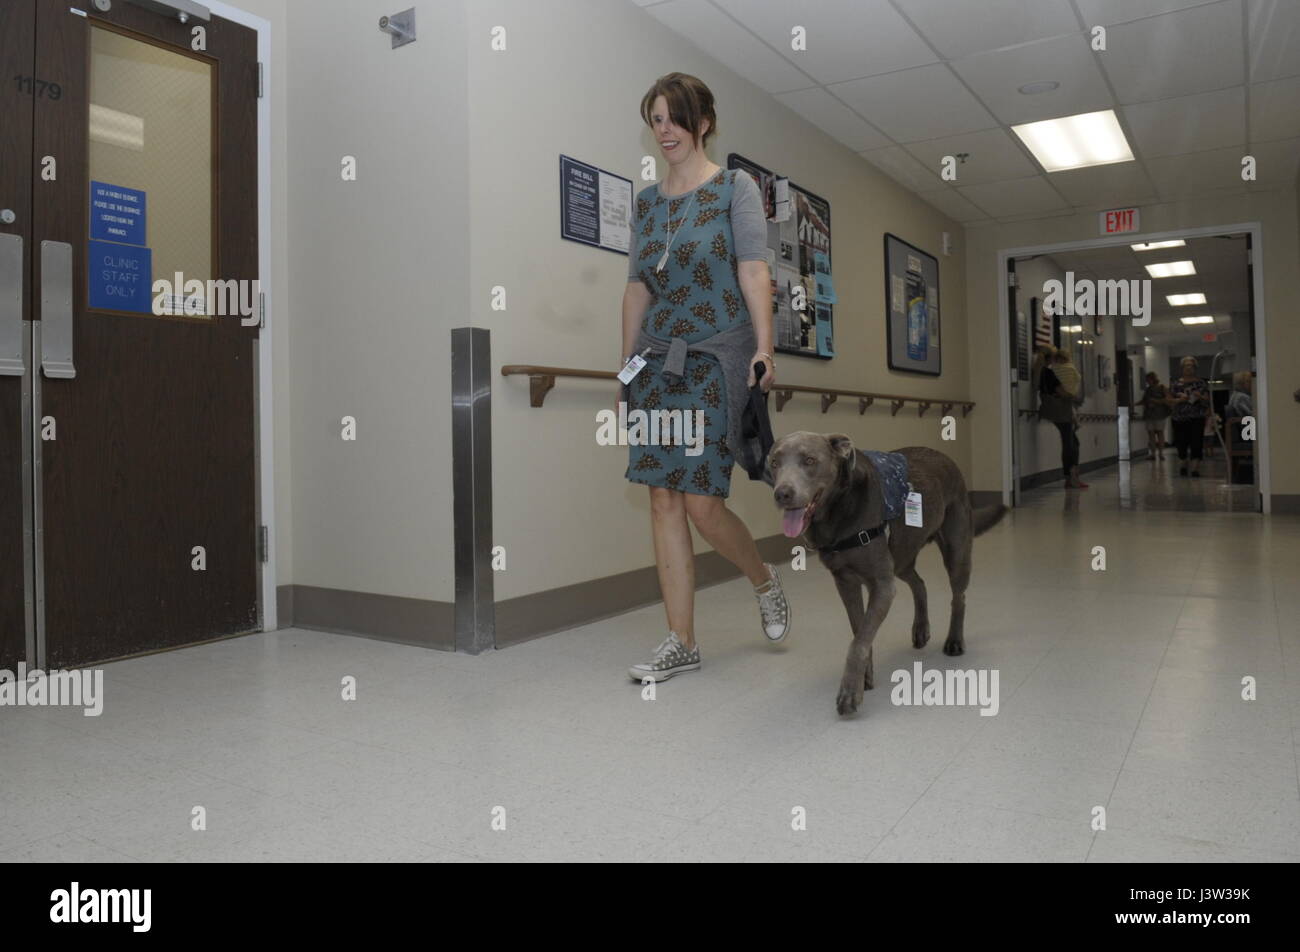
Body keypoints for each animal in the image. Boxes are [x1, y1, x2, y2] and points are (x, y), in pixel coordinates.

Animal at [764, 431, 1008, 712]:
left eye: (809, 460)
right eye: (774, 462)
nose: (782, 494)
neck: (840, 511)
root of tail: (946, 458)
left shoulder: (881, 585)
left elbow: (859, 641)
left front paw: (850, 691)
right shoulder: (846, 583)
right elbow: (860, 632)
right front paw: (864, 678)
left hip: (954, 552)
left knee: (959, 597)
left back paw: (955, 640)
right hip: (901, 557)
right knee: (919, 583)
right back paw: (921, 628)